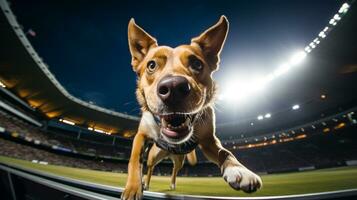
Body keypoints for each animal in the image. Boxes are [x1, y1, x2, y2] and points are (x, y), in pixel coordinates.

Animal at [121, 16, 262, 200]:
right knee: (150, 167)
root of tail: (169, 153)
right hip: (154, 155)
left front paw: (239, 170)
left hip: (179, 160)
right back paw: (145, 182)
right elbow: (134, 159)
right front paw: (133, 187)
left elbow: (225, 152)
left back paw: (172, 184)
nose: (173, 88)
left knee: (174, 169)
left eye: (197, 64)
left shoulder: (209, 140)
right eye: (151, 65)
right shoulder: (141, 135)